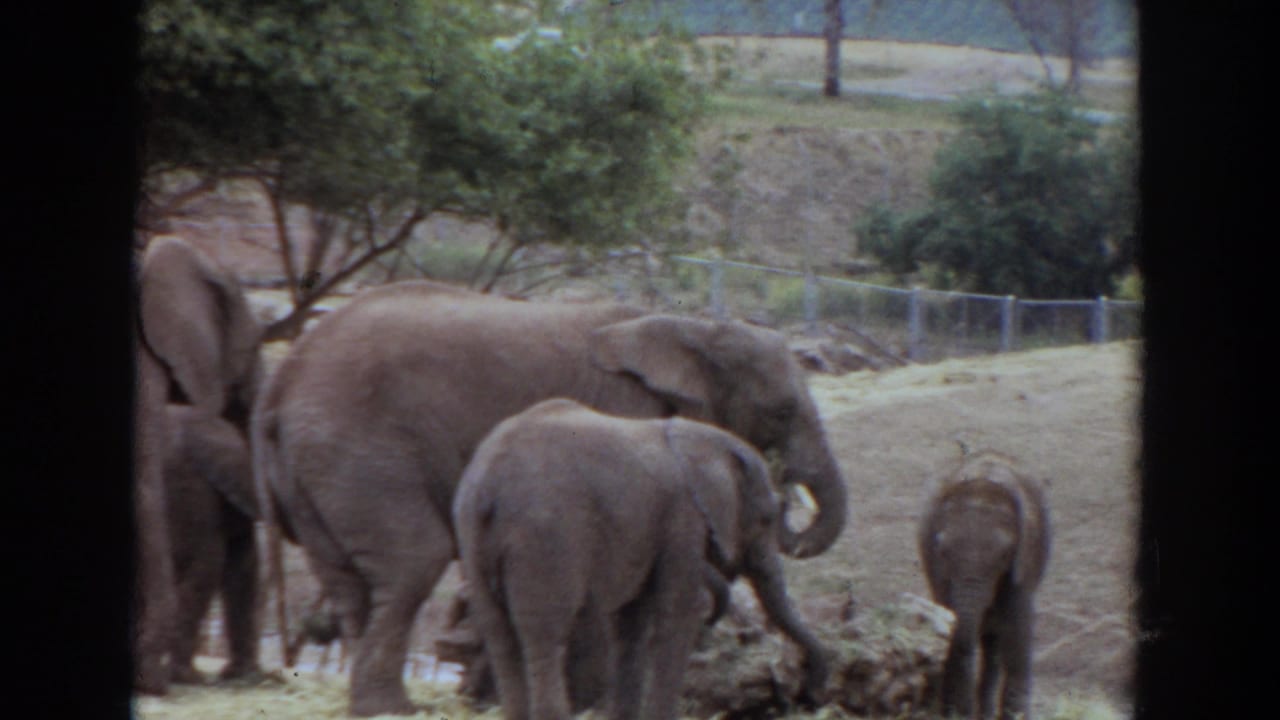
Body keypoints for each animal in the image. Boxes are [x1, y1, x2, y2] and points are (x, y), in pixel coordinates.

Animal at [453, 398, 831, 720]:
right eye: (767, 518)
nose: (812, 695)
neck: (700, 437)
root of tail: (489, 485)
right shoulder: (683, 516)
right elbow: (678, 611)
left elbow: (631, 623)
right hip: (544, 535)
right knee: (545, 638)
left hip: (472, 533)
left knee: (501, 637)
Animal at [918, 450, 1051, 720]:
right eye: (942, 552)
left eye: (1004, 555)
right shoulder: (939, 571)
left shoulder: (1023, 561)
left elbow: (1017, 640)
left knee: (995, 649)